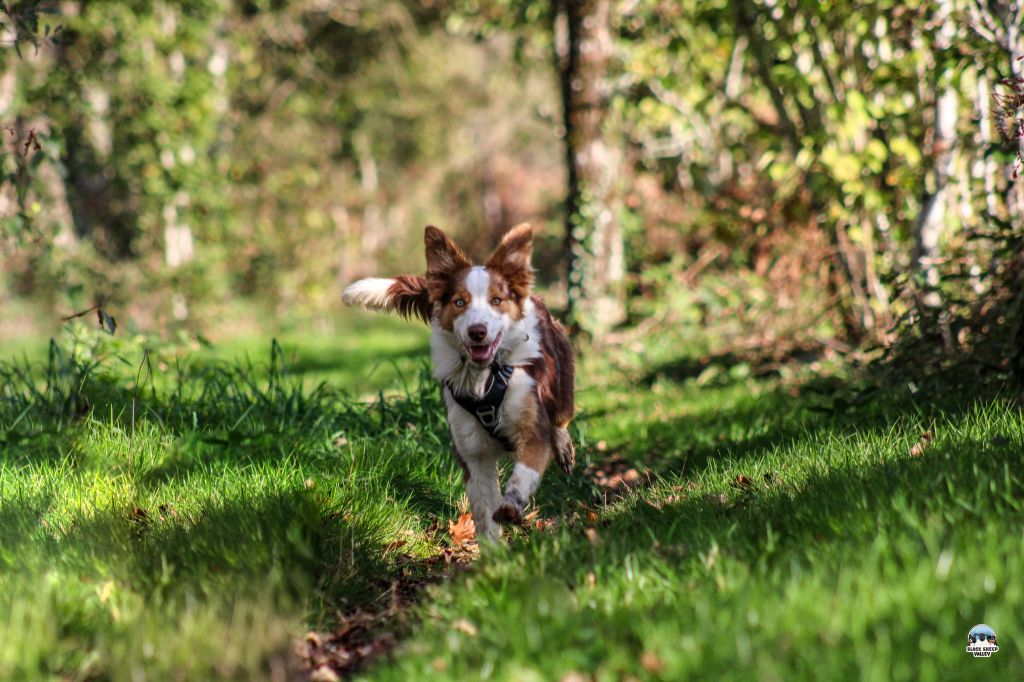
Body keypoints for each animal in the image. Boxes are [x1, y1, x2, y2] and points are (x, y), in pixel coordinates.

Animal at [339, 225, 573, 540]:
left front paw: (512, 505)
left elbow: (525, 470)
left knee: (561, 415)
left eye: (496, 301)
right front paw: (494, 549)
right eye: (460, 302)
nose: (477, 331)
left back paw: (563, 444)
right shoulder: (472, 453)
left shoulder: (532, 429)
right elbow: (485, 514)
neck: (485, 380)